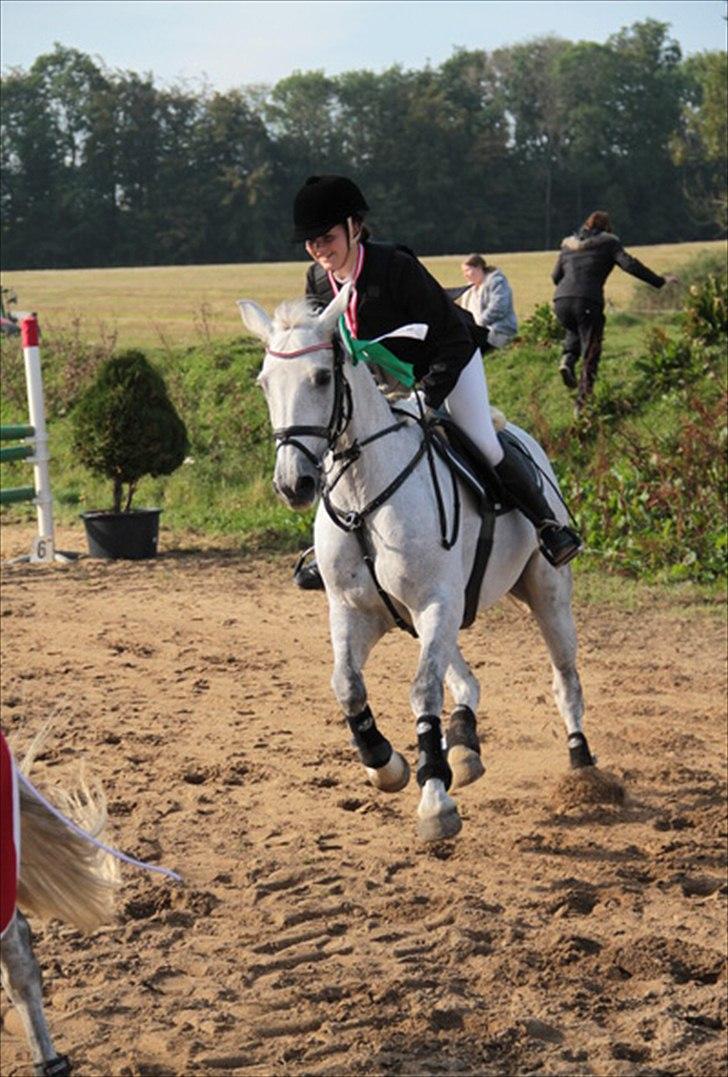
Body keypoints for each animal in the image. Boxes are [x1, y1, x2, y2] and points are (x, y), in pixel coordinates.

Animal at [240, 290, 616, 844]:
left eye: (322, 378)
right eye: (265, 383)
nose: (294, 484)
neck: (364, 497)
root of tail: (522, 435)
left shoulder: (435, 600)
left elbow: (422, 690)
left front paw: (435, 798)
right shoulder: (355, 611)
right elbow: (347, 685)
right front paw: (385, 763)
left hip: (545, 592)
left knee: (564, 677)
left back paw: (583, 768)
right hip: (437, 613)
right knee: (464, 680)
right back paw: (463, 743)